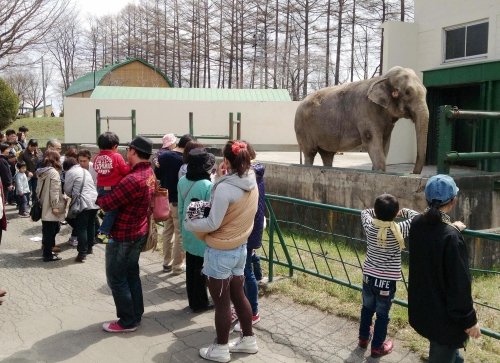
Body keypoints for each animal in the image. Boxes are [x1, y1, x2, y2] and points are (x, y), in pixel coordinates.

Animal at [292, 67, 430, 175]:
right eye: (407, 92)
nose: (412, 173)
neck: (382, 78)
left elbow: (385, 142)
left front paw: (376, 171)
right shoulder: (365, 111)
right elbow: (371, 140)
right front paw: (379, 171)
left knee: (327, 154)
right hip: (302, 128)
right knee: (310, 152)